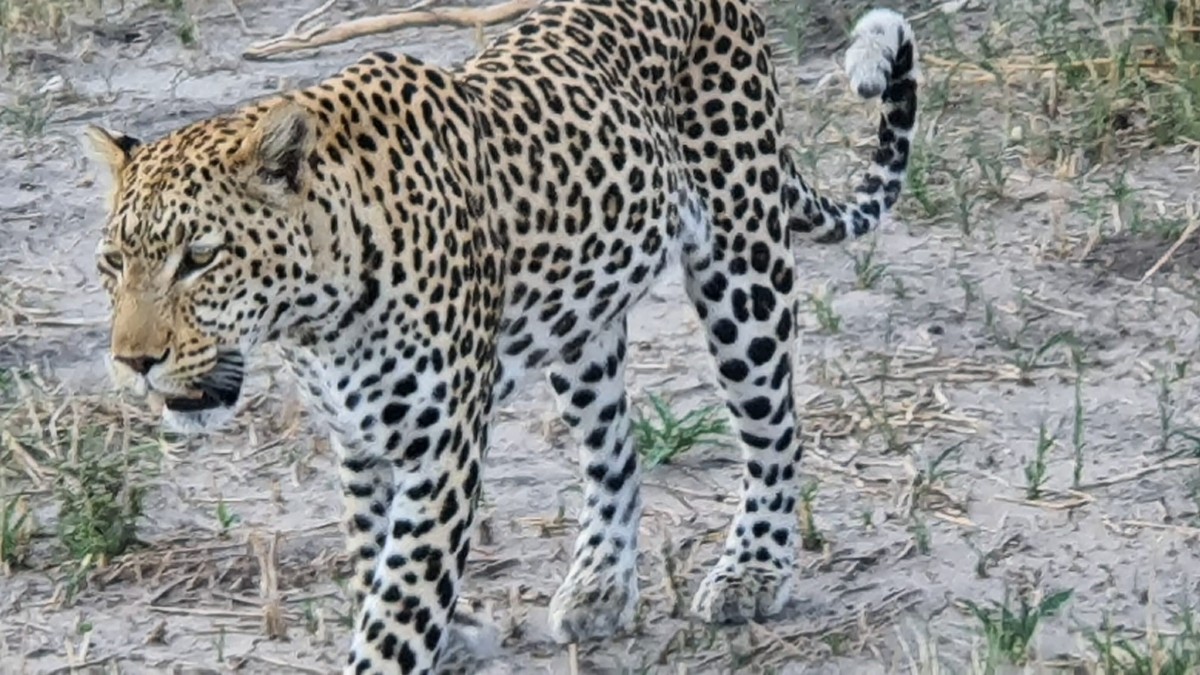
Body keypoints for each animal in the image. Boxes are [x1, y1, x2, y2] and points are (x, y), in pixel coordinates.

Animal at [83, 0, 918, 672]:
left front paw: (409, 639)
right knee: (615, 450)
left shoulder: (441, 447)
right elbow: (373, 561)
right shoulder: (359, 443)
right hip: (583, 319)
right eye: (115, 261)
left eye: (200, 257)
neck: (318, 313)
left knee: (774, 428)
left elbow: (400, 603)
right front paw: (447, 635)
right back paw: (600, 583)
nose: (133, 362)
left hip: (743, 265)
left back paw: (753, 569)